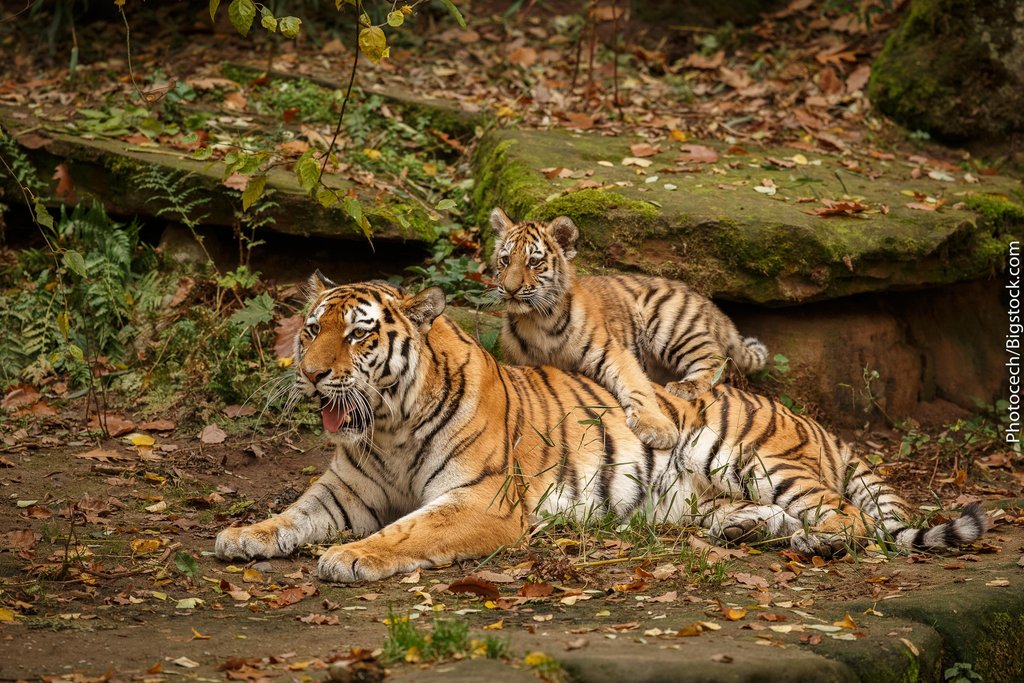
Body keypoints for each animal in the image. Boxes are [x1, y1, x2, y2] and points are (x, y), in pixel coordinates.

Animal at [213, 275, 986, 582]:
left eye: (358, 335)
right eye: (310, 330)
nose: (311, 373)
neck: (388, 428)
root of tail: (812, 421)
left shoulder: (483, 500)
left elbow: (409, 531)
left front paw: (352, 556)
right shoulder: (345, 491)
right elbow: (292, 515)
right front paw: (241, 535)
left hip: (755, 456)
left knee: (845, 514)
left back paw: (816, 540)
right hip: (706, 493)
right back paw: (745, 530)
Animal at [489, 207, 769, 451]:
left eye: (534, 262)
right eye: (505, 260)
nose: (510, 289)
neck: (537, 320)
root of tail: (707, 301)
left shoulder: (612, 351)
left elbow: (637, 386)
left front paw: (658, 430)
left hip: (669, 323)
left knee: (716, 359)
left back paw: (685, 386)